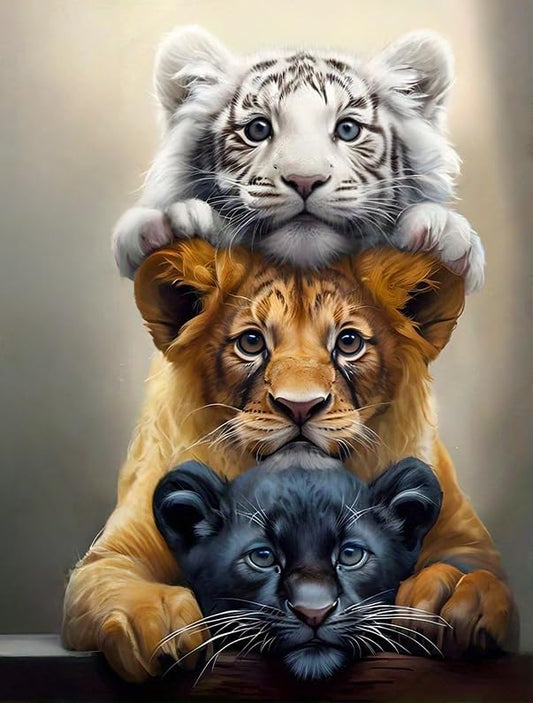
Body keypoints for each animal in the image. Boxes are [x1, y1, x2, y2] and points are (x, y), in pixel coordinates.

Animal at [62, 240, 516, 682]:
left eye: (348, 342)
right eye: (251, 342)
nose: (300, 407)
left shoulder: (464, 537)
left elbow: (481, 572)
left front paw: (454, 595)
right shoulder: (113, 554)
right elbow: (116, 580)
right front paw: (159, 621)